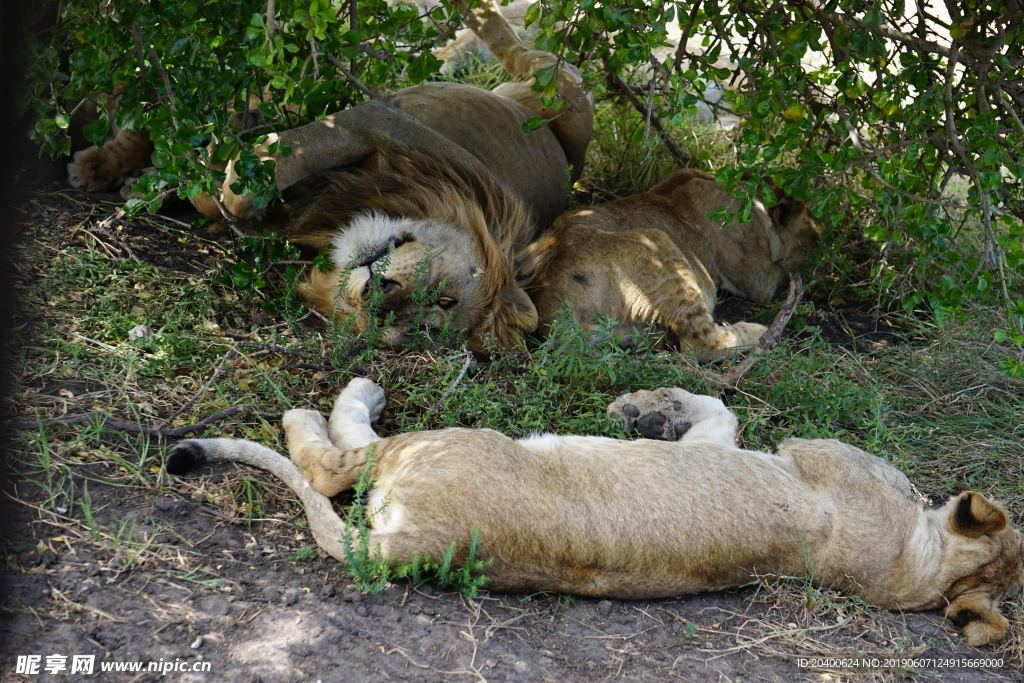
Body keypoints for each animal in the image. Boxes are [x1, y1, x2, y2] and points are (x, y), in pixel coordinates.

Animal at [68, 0, 598, 352]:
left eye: (421, 320)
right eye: (447, 299)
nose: (380, 295)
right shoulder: (379, 118)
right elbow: (273, 152)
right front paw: (207, 177)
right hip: (567, 96)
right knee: (521, 47)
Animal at [167, 376, 1024, 651]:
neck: (919, 562)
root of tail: (421, 542)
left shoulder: (787, 449)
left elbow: (720, 408)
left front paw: (650, 406)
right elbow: (716, 406)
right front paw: (646, 411)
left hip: (438, 442)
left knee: (334, 460)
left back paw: (344, 397)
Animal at [524, 167, 819, 360]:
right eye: (816, 237)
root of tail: (552, 304)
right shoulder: (758, 280)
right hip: (658, 243)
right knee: (701, 344)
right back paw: (760, 333)